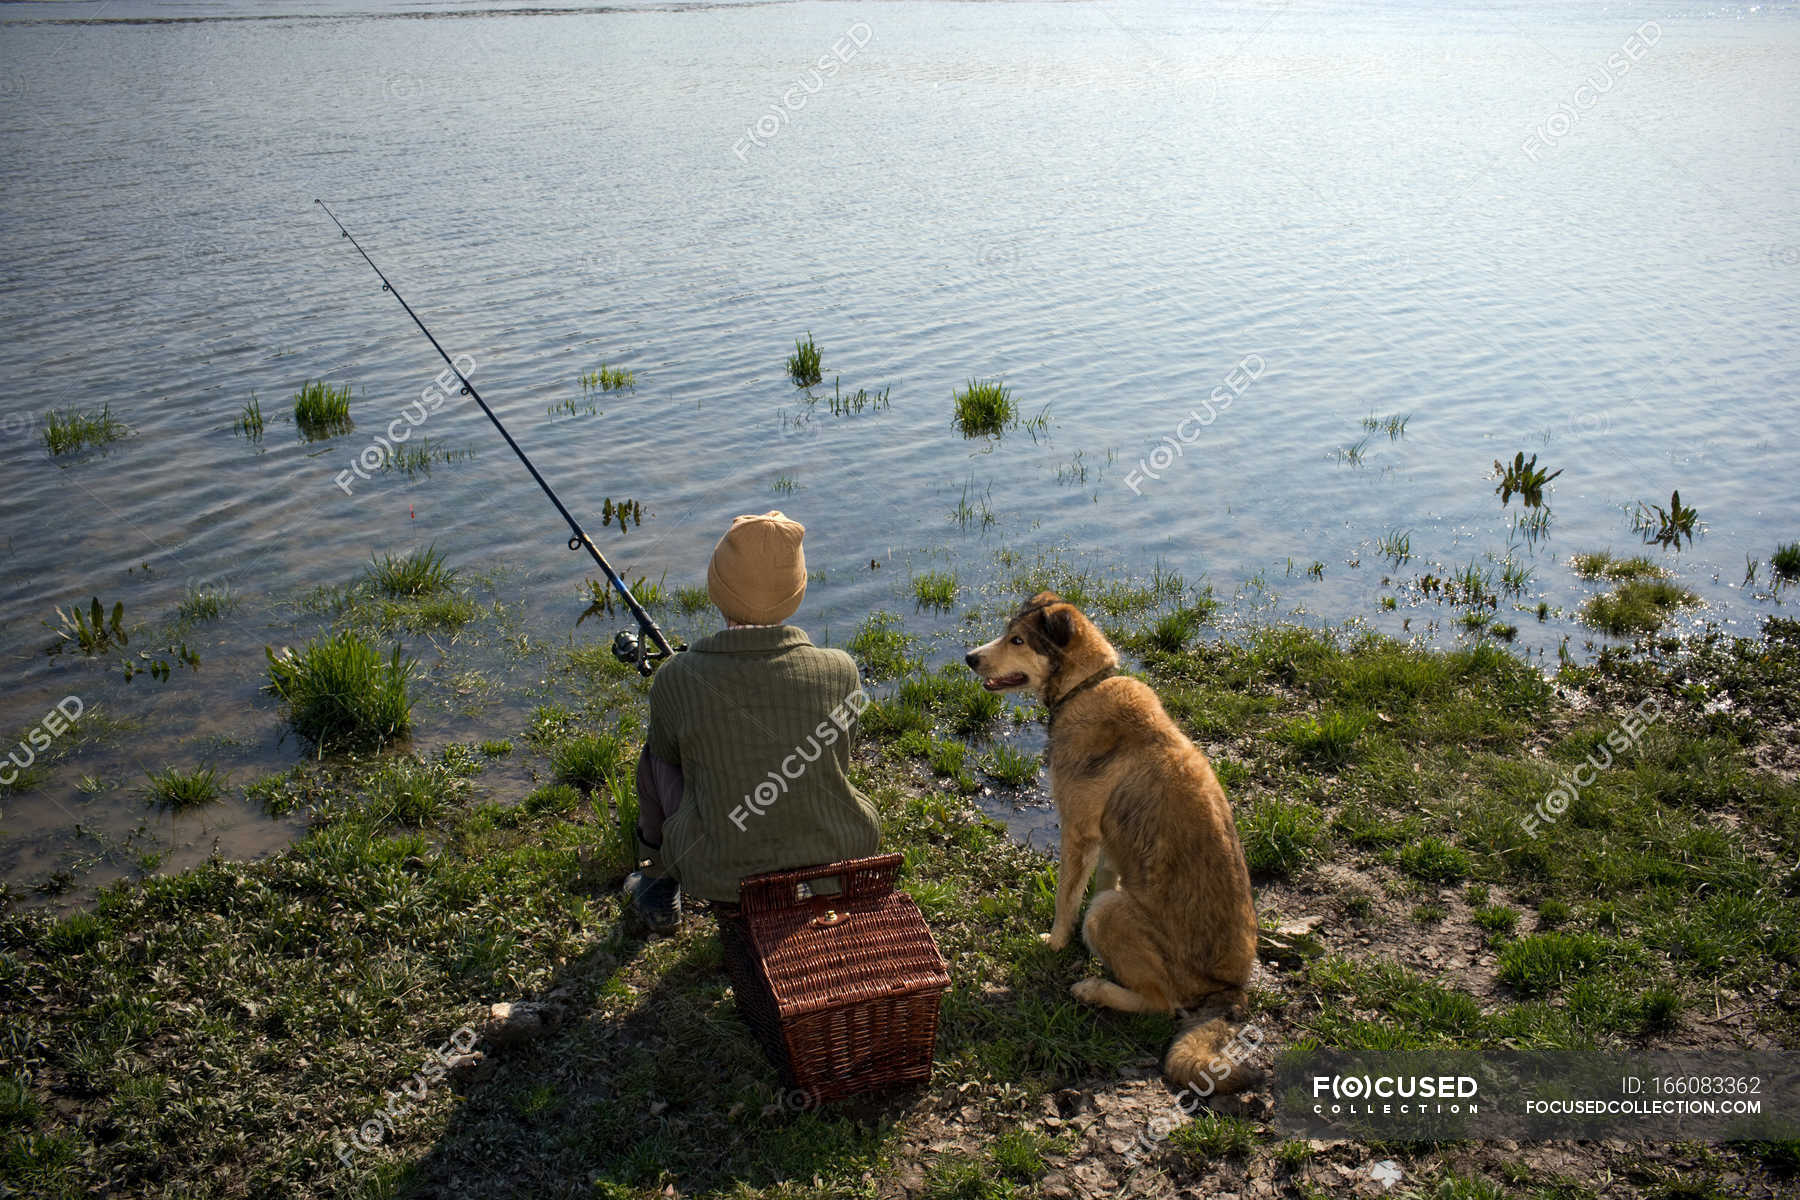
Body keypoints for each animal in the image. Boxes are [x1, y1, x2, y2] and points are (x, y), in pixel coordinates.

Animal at [964, 597, 1260, 1093]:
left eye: (1018, 640)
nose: (969, 658)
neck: (1084, 687)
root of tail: (1230, 988)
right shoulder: (1107, 844)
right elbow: (1096, 882)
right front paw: (1080, 946)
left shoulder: (1077, 832)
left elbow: (1066, 899)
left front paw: (1055, 942)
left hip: (1115, 915)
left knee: (1161, 1003)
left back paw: (1094, 990)